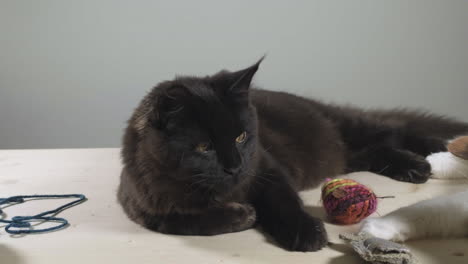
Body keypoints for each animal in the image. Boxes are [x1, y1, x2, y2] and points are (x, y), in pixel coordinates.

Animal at [118, 59, 468, 252]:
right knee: (377, 149)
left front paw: (306, 233)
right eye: (204, 147)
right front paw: (241, 215)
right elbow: (183, 221)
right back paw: (413, 166)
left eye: (241, 137)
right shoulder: (144, 206)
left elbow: (283, 201)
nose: (234, 167)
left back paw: (431, 159)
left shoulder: (265, 167)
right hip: (349, 155)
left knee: (399, 132)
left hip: (351, 128)